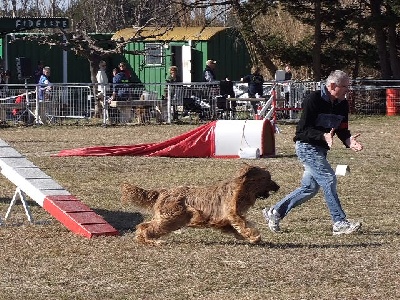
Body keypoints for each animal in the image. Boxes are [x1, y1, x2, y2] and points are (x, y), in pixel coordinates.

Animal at [120, 165, 280, 245]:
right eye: (268, 178)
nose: (278, 187)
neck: (240, 190)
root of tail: (163, 192)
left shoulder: (224, 220)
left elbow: (237, 227)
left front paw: (247, 237)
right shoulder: (232, 214)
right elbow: (244, 224)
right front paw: (255, 236)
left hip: (166, 217)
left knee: (143, 225)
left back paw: (141, 238)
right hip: (172, 218)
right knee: (149, 228)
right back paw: (150, 240)